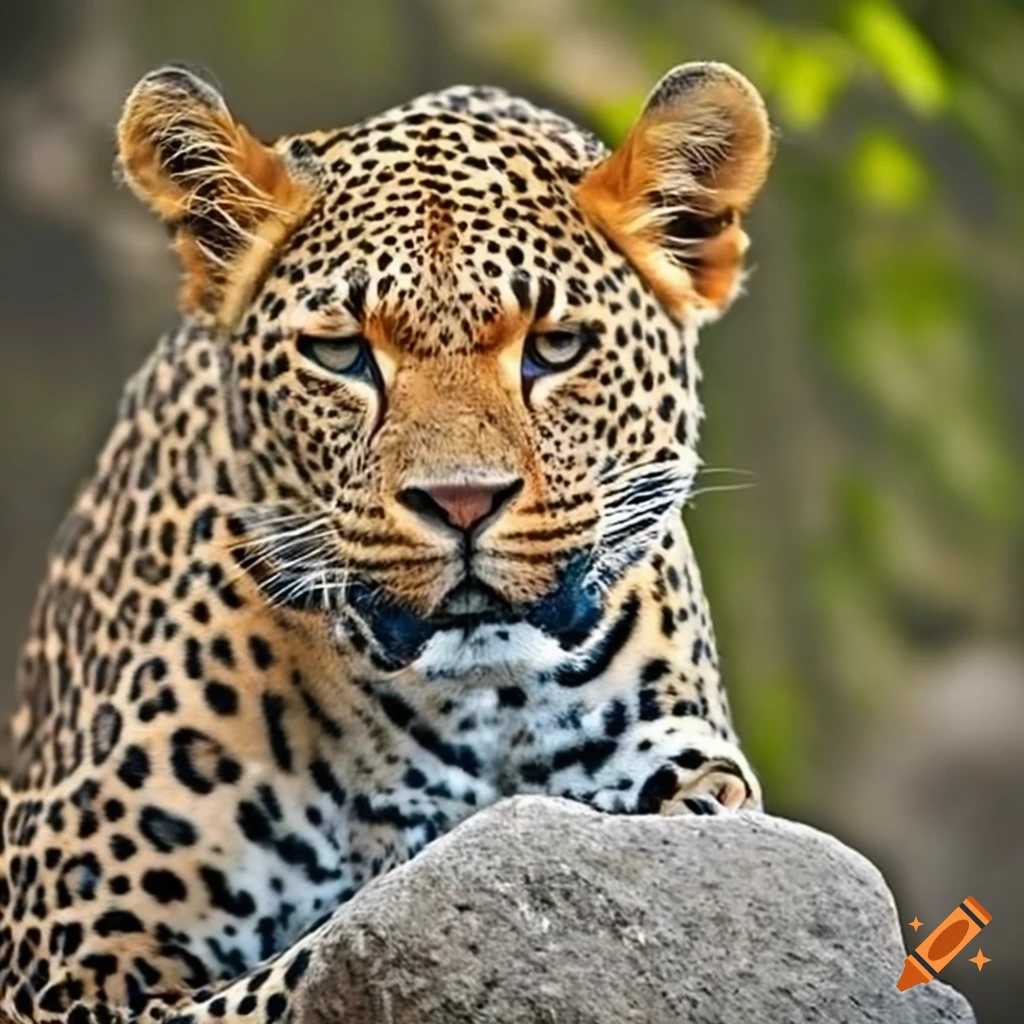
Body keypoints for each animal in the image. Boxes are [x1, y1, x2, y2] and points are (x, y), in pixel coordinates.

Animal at [0, 59, 773, 1023]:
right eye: (341, 355)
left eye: (555, 347)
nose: (461, 501)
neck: (473, 701)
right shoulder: (67, 960)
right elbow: (320, 961)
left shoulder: (692, 760)